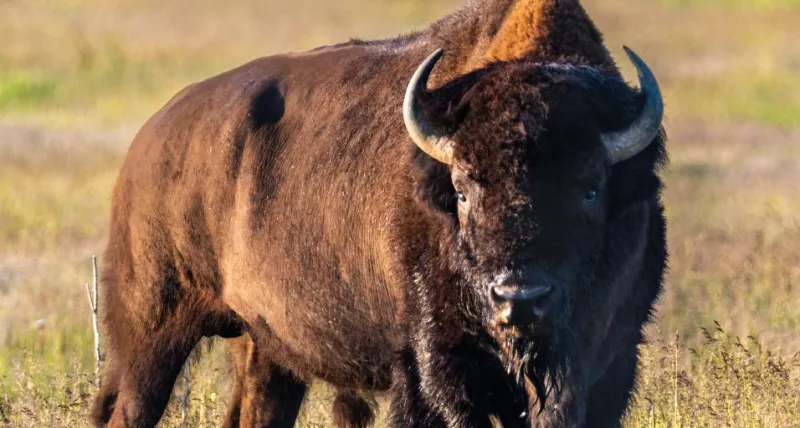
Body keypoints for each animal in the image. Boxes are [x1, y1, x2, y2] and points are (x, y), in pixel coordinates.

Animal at [91, 0, 667, 427]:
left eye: (590, 189)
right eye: (462, 190)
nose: (518, 300)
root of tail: (151, 140)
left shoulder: (609, 362)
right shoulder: (434, 366)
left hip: (264, 349)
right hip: (151, 331)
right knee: (130, 408)